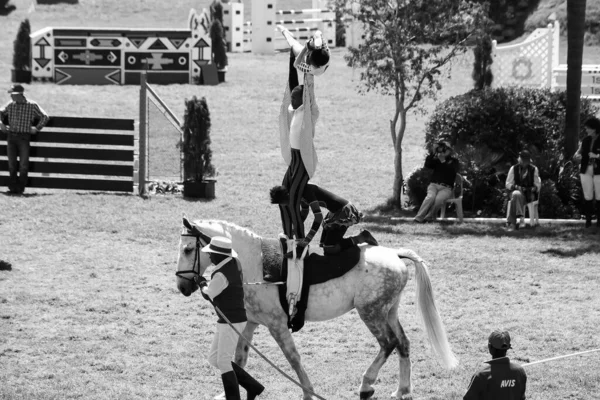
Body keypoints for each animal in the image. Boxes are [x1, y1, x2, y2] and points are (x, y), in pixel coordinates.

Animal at [176, 219, 458, 400]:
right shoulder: (251, 322)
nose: (182, 286)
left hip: (370, 313)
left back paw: (366, 385)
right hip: (388, 312)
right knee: (403, 344)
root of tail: (395, 255)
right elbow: (239, 358)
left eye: (189, 249)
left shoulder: (277, 325)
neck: (253, 264)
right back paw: (403, 390)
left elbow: (293, 358)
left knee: (388, 343)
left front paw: (308, 393)